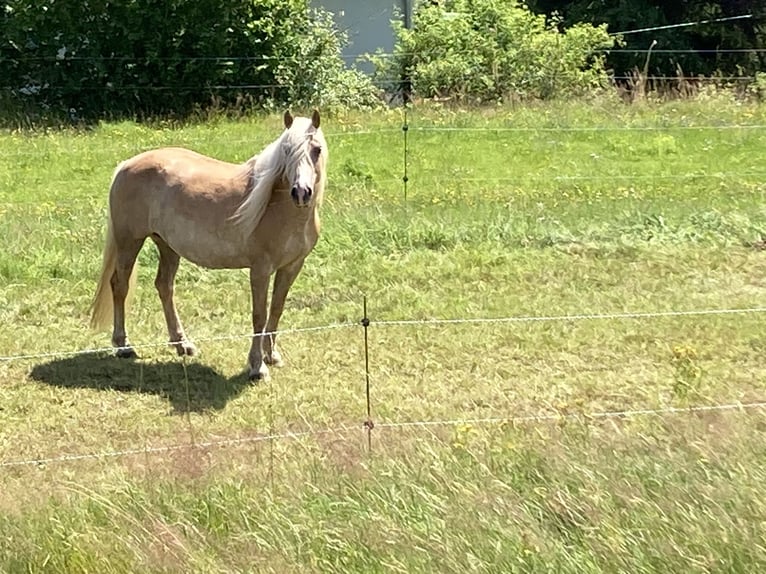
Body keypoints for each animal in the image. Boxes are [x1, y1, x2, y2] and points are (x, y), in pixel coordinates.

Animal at [90, 112, 330, 382]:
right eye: (286, 150)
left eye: (317, 149)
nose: (301, 192)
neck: (277, 207)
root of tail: (126, 164)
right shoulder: (260, 269)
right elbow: (259, 315)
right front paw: (257, 367)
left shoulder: (291, 266)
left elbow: (276, 310)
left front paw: (272, 356)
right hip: (129, 242)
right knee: (119, 285)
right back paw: (123, 346)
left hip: (167, 246)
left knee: (164, 286)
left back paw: (182, 344)